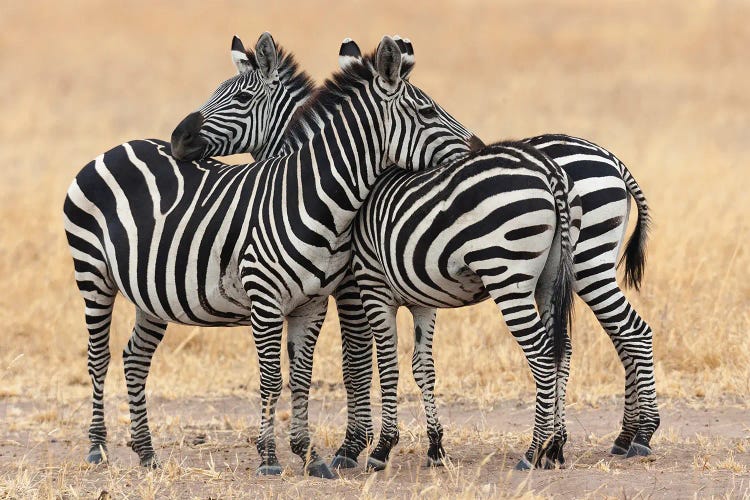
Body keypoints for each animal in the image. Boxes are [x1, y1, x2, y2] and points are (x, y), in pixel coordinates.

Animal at [63, 33, 482, 478]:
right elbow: (283, 376)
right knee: (99, 357)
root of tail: (114, 149)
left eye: (242, 97)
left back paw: (146, 453)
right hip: (92, 275)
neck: (315, 197)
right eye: (427, 110)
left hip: (151, 292)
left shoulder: (315, 302)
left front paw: (314, 454)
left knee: (134, 358)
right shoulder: (275, 299)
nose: (177, 140)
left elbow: (308, 375)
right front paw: (277, 456)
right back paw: (97, 448)